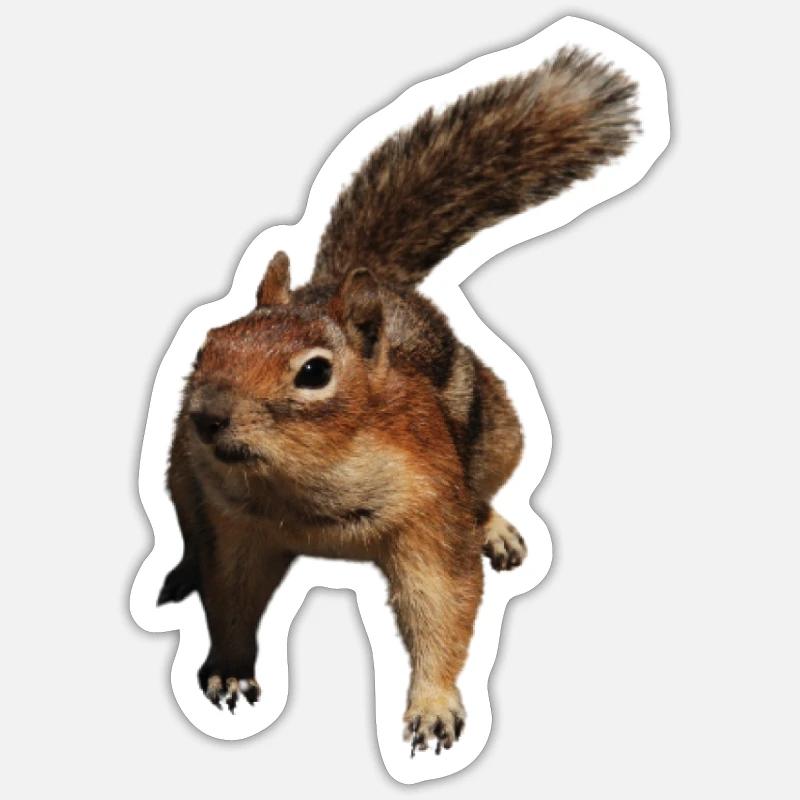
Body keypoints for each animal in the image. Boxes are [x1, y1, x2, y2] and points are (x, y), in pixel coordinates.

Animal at [158, 47, 638, 756]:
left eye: (314, 372)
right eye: (208, 344)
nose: (206, 417)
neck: (305, 487)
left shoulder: (430, 507)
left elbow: (443, 601)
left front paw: (433, 707)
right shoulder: (236, 524)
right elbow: (231, 593)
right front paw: (227, 669)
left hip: (499, 436)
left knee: (484, 492)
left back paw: (496, 527)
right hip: (179, 476)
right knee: (192, 536)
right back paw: (180, 569)